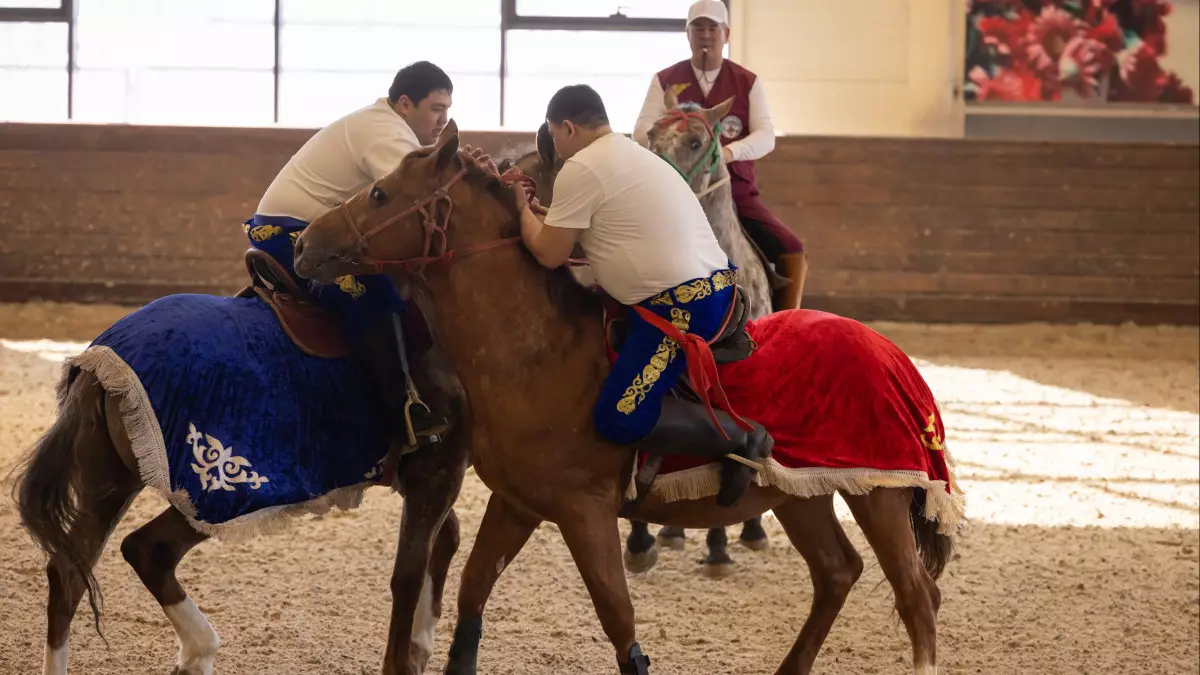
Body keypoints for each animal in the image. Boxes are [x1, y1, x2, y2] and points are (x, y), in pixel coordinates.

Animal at [9, 282, 468, 672]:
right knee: (149, 550)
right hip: (215, 496)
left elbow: (445, 539)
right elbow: (414, 567)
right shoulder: (438, 471)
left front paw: (421, 643)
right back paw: (199, 650)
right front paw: (412, 651)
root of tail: (100, 363)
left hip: (110, 481)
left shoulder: (422, 478)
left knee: (70, 572)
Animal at [290, 121, 964, 672]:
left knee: (917, 598)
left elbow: (619, 622)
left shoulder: (583, 511)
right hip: (803, 494)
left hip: (879, 493)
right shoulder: (518, 503)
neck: (535, 351)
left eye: (380, 193)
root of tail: (891, 353)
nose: (304, 243)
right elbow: (473, 590)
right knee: (837, 573)